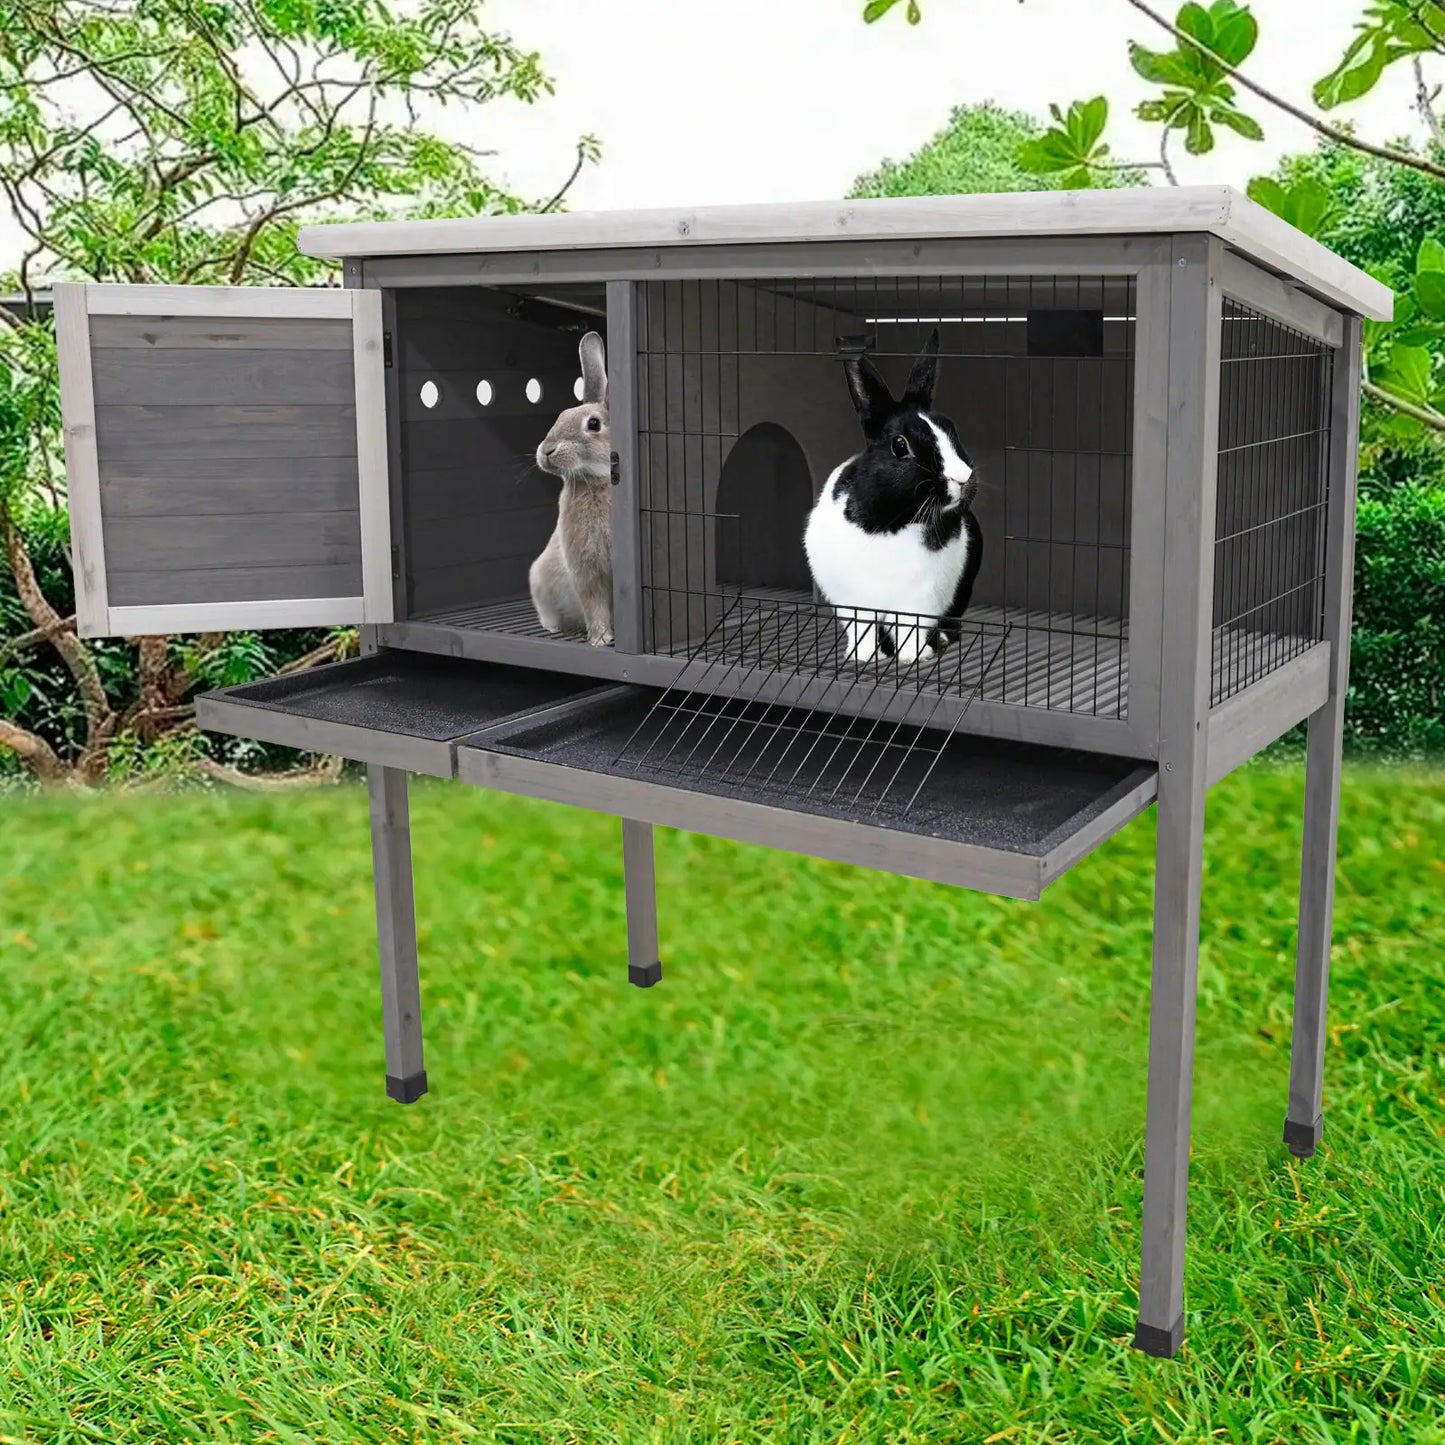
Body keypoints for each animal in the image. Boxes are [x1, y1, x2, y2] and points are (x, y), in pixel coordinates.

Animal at [528, 332, 612, 650]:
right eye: (561, 416)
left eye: (593, 424)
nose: (546, 451)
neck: (596, 480)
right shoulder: (586, 571)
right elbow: (594, 603)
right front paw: (601, 639)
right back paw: (555, 629)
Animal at [803, 329, 982, 664]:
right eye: (900, 446)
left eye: (952, 430)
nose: (962, 477)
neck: (895, 520)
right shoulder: (854, 601)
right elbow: (861, 628)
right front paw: (863, 657)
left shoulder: (919, 600)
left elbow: (911, 628)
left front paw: (914, 658)